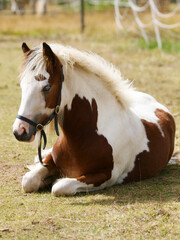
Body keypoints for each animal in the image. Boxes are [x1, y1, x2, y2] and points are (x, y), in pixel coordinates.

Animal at [13, 42, 176, 196]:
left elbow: (60, 186)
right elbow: (29, 181)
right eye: (21, 86)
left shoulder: (106, 177)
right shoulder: (50, 161)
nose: (20, 131)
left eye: (46, 87)